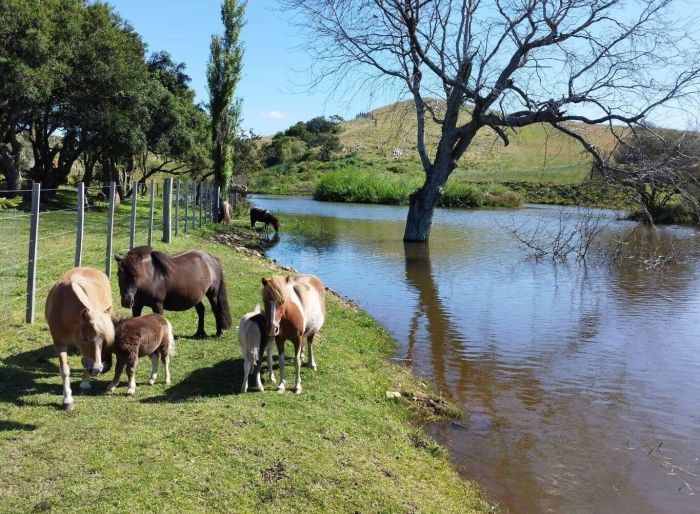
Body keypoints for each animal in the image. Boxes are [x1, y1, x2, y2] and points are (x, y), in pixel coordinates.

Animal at [45, 266, 115, 410]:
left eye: (102, 339)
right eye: (85, 338)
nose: (97, 369)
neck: (64, 308)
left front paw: (85, 382)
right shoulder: (59, 343)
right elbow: (65, 370)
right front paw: (67, 401)